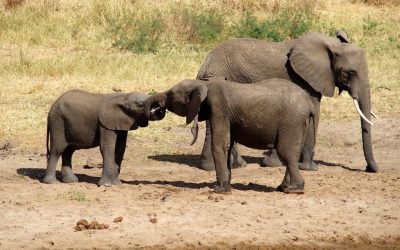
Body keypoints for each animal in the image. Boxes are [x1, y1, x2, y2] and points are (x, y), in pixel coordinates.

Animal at [145, 78, 318, 193]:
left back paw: (294, 189)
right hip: (300, 123)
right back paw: (283, 187)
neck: (203, 84)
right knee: (292, 153)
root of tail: (309, 104)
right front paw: (226, 185)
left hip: (292, 121)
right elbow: (227, 147)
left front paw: (219, 189)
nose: (157, 110)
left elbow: (219, 144)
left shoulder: (218, 108)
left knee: (286, 152)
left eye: (170, 96)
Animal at [194, 30, 378, 173]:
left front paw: (276, 162)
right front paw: (310, 168)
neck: (330, 45)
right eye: (350, 73)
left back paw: (223, 166)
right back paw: (223, 166)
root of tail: (204, 64)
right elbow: (314, 111)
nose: (369, 169)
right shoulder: (303, 79)